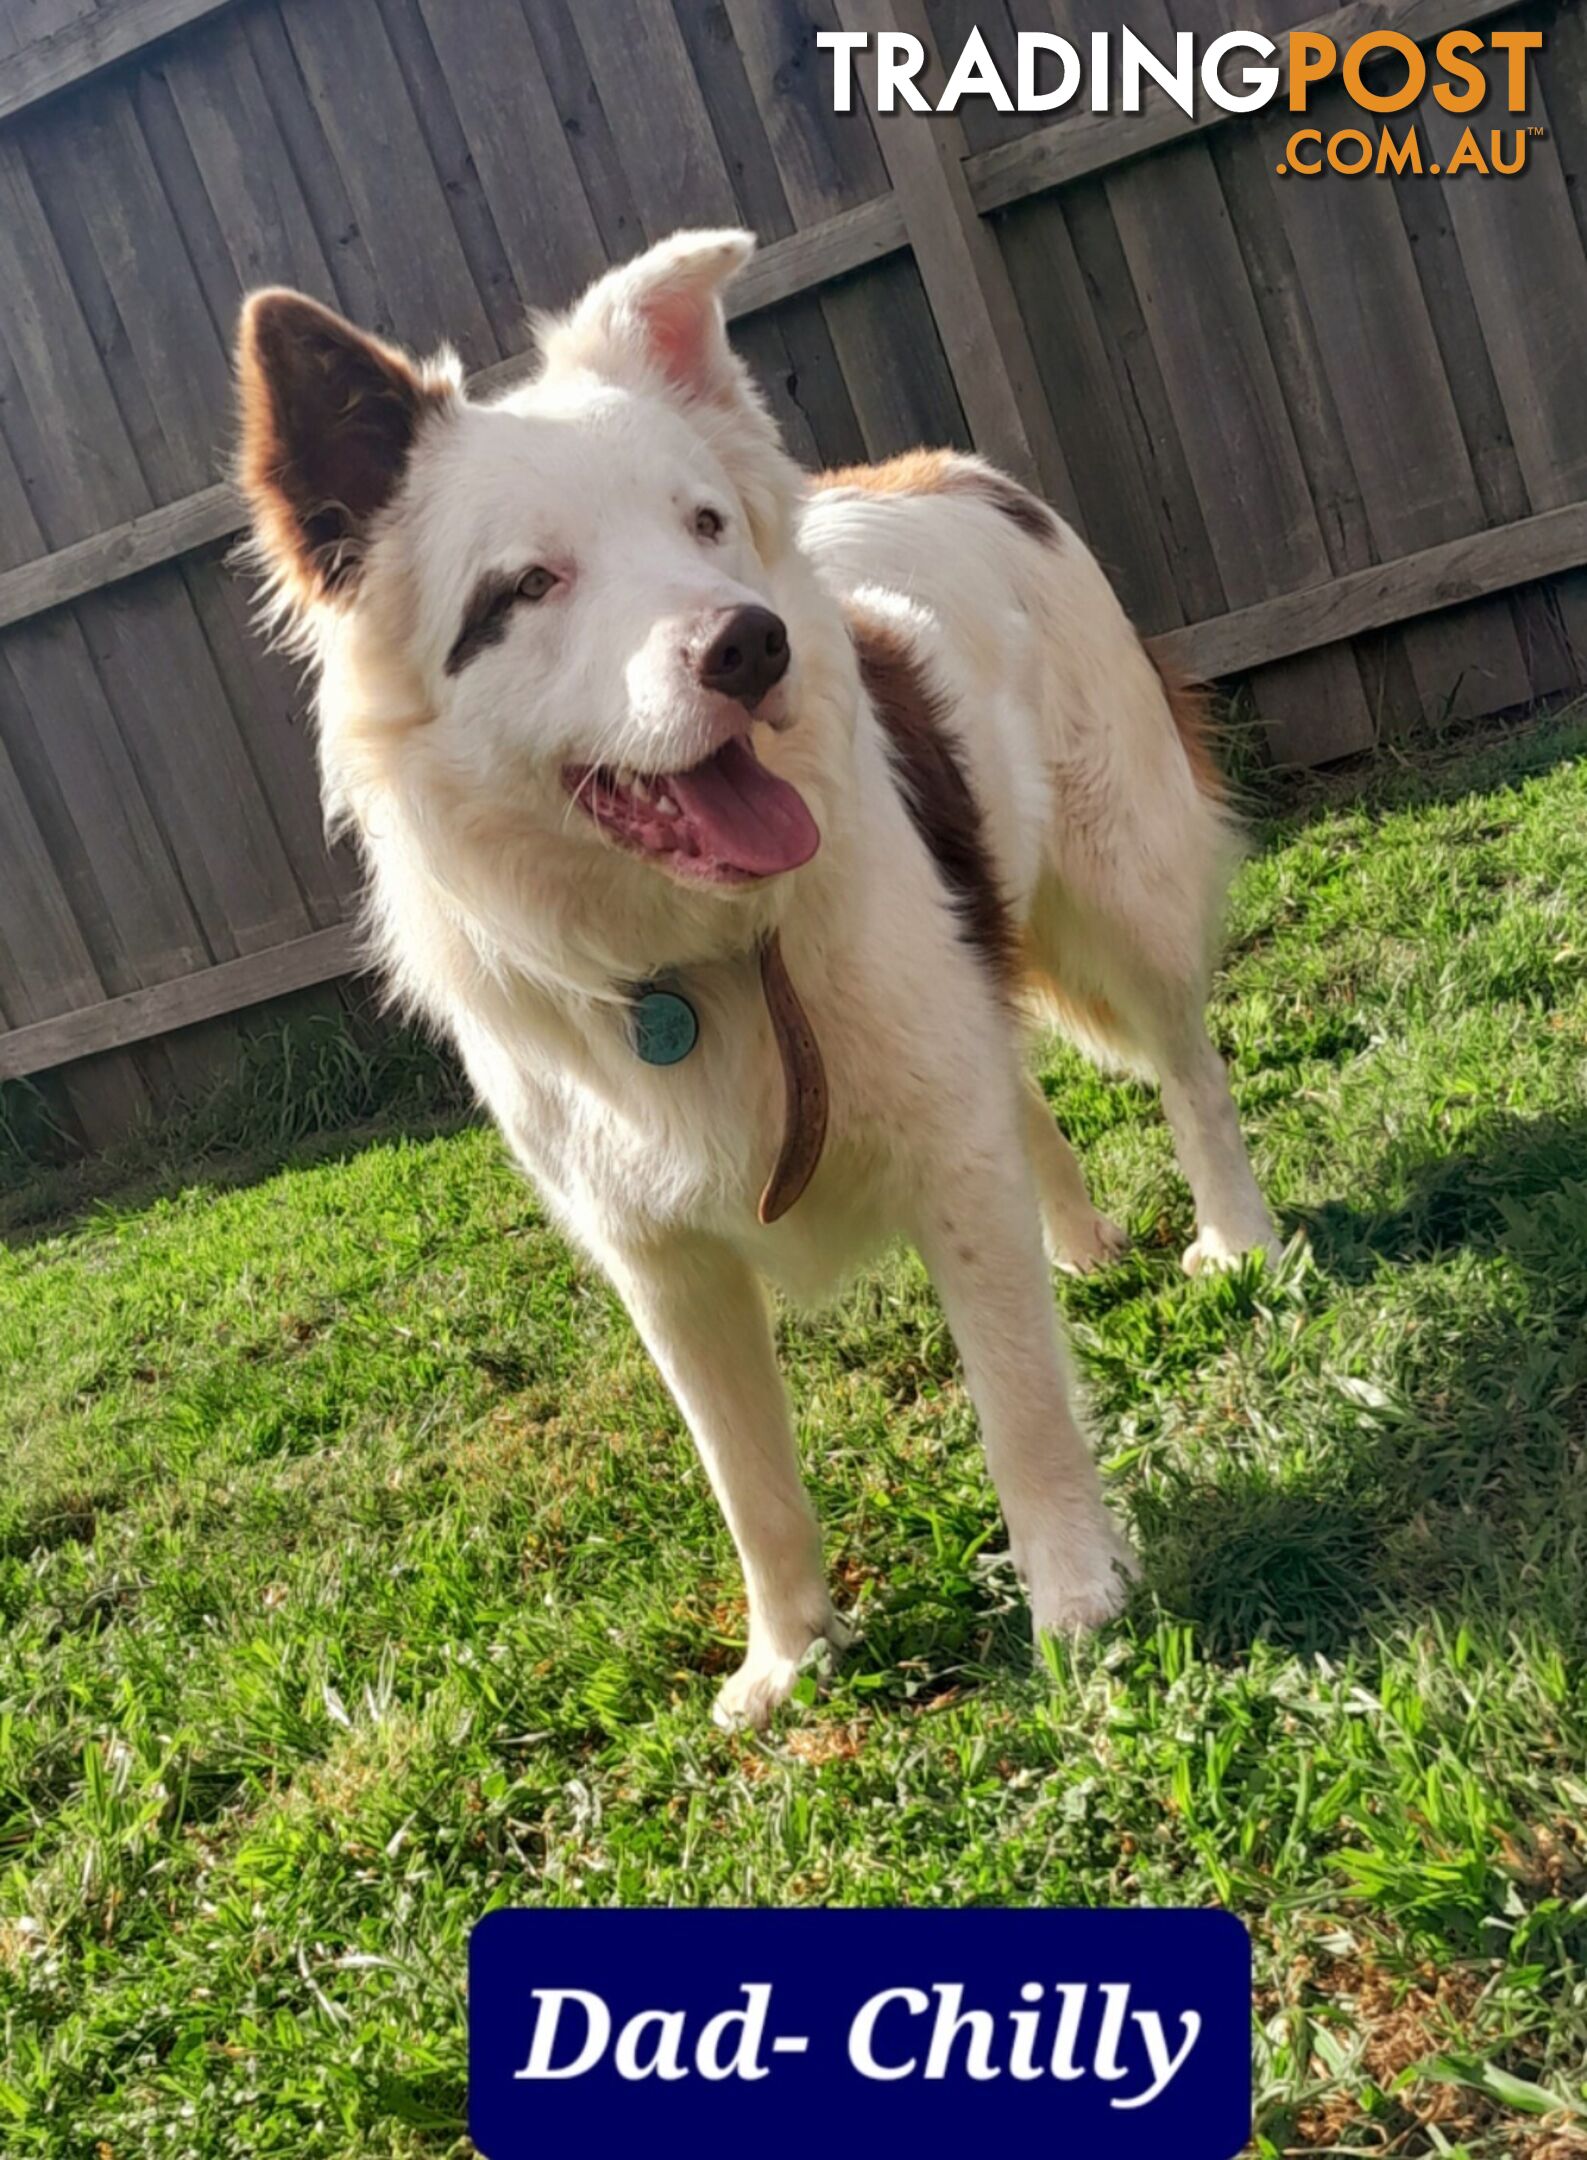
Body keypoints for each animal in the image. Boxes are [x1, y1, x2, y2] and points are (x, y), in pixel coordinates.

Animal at [233, 227, 1278, 1728]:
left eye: (704, 525)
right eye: (527, 587)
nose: (749, 645)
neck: (695, 951)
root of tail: (947, 467)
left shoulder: (940, 1149)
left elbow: (1018, 1398)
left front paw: (1075, 1598)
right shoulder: (659, 1260)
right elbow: (746, 1478)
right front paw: (787, 1658)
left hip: (1119, 890)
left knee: (1187, 1069)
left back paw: (1238, 1240)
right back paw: (1077, 1243)